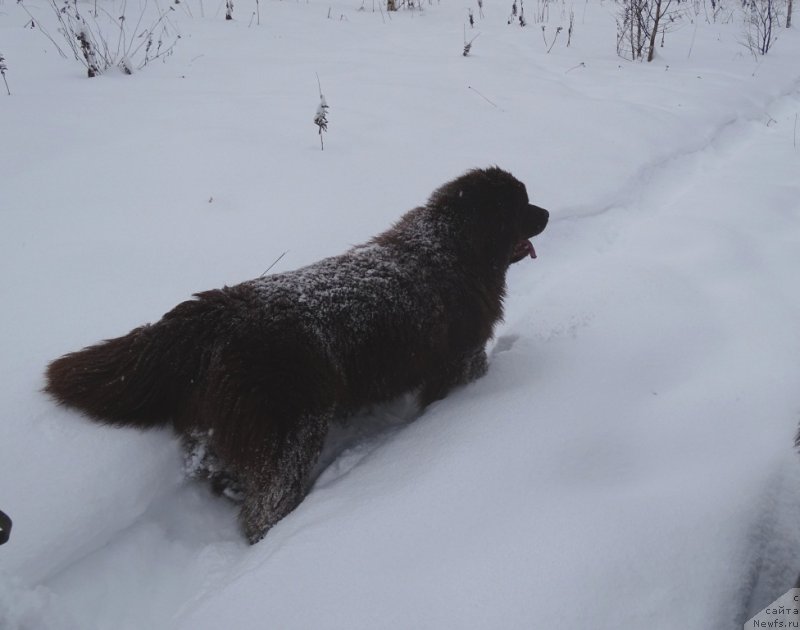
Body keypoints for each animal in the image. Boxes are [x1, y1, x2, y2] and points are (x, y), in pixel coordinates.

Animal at [45, 167, 552, 544]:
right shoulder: (460, 356)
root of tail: (218, 313)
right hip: (292, 425)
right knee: (268, 501)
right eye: (521, 204)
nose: (546, 211)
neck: (452, 245)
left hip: (221, 422)